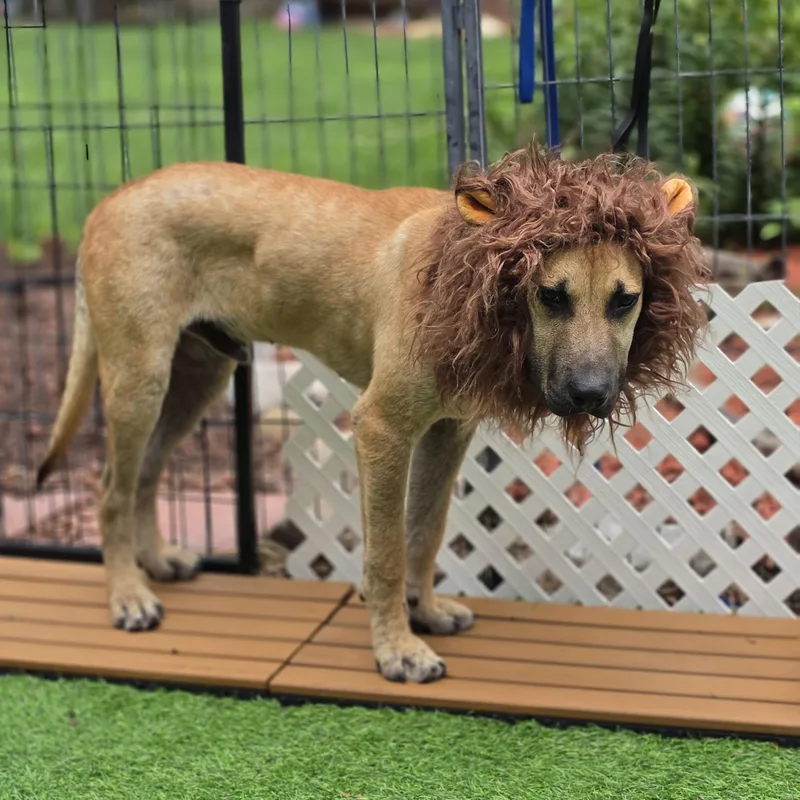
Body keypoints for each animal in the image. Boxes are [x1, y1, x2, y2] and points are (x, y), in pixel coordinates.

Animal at [36, 144, 709, 684]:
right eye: (550, 296)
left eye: (625, 301)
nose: (592, 394)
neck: (464, 276)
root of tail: (109, 201)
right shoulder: (383, 431)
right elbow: (386, 551)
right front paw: (396, 650)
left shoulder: (447, 434)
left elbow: (424, 534)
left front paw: (425, 614)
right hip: (139, 379)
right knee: (110, 488)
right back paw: (128, 596)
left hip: (197, 377)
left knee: (146, 474)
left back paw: (155, 563)